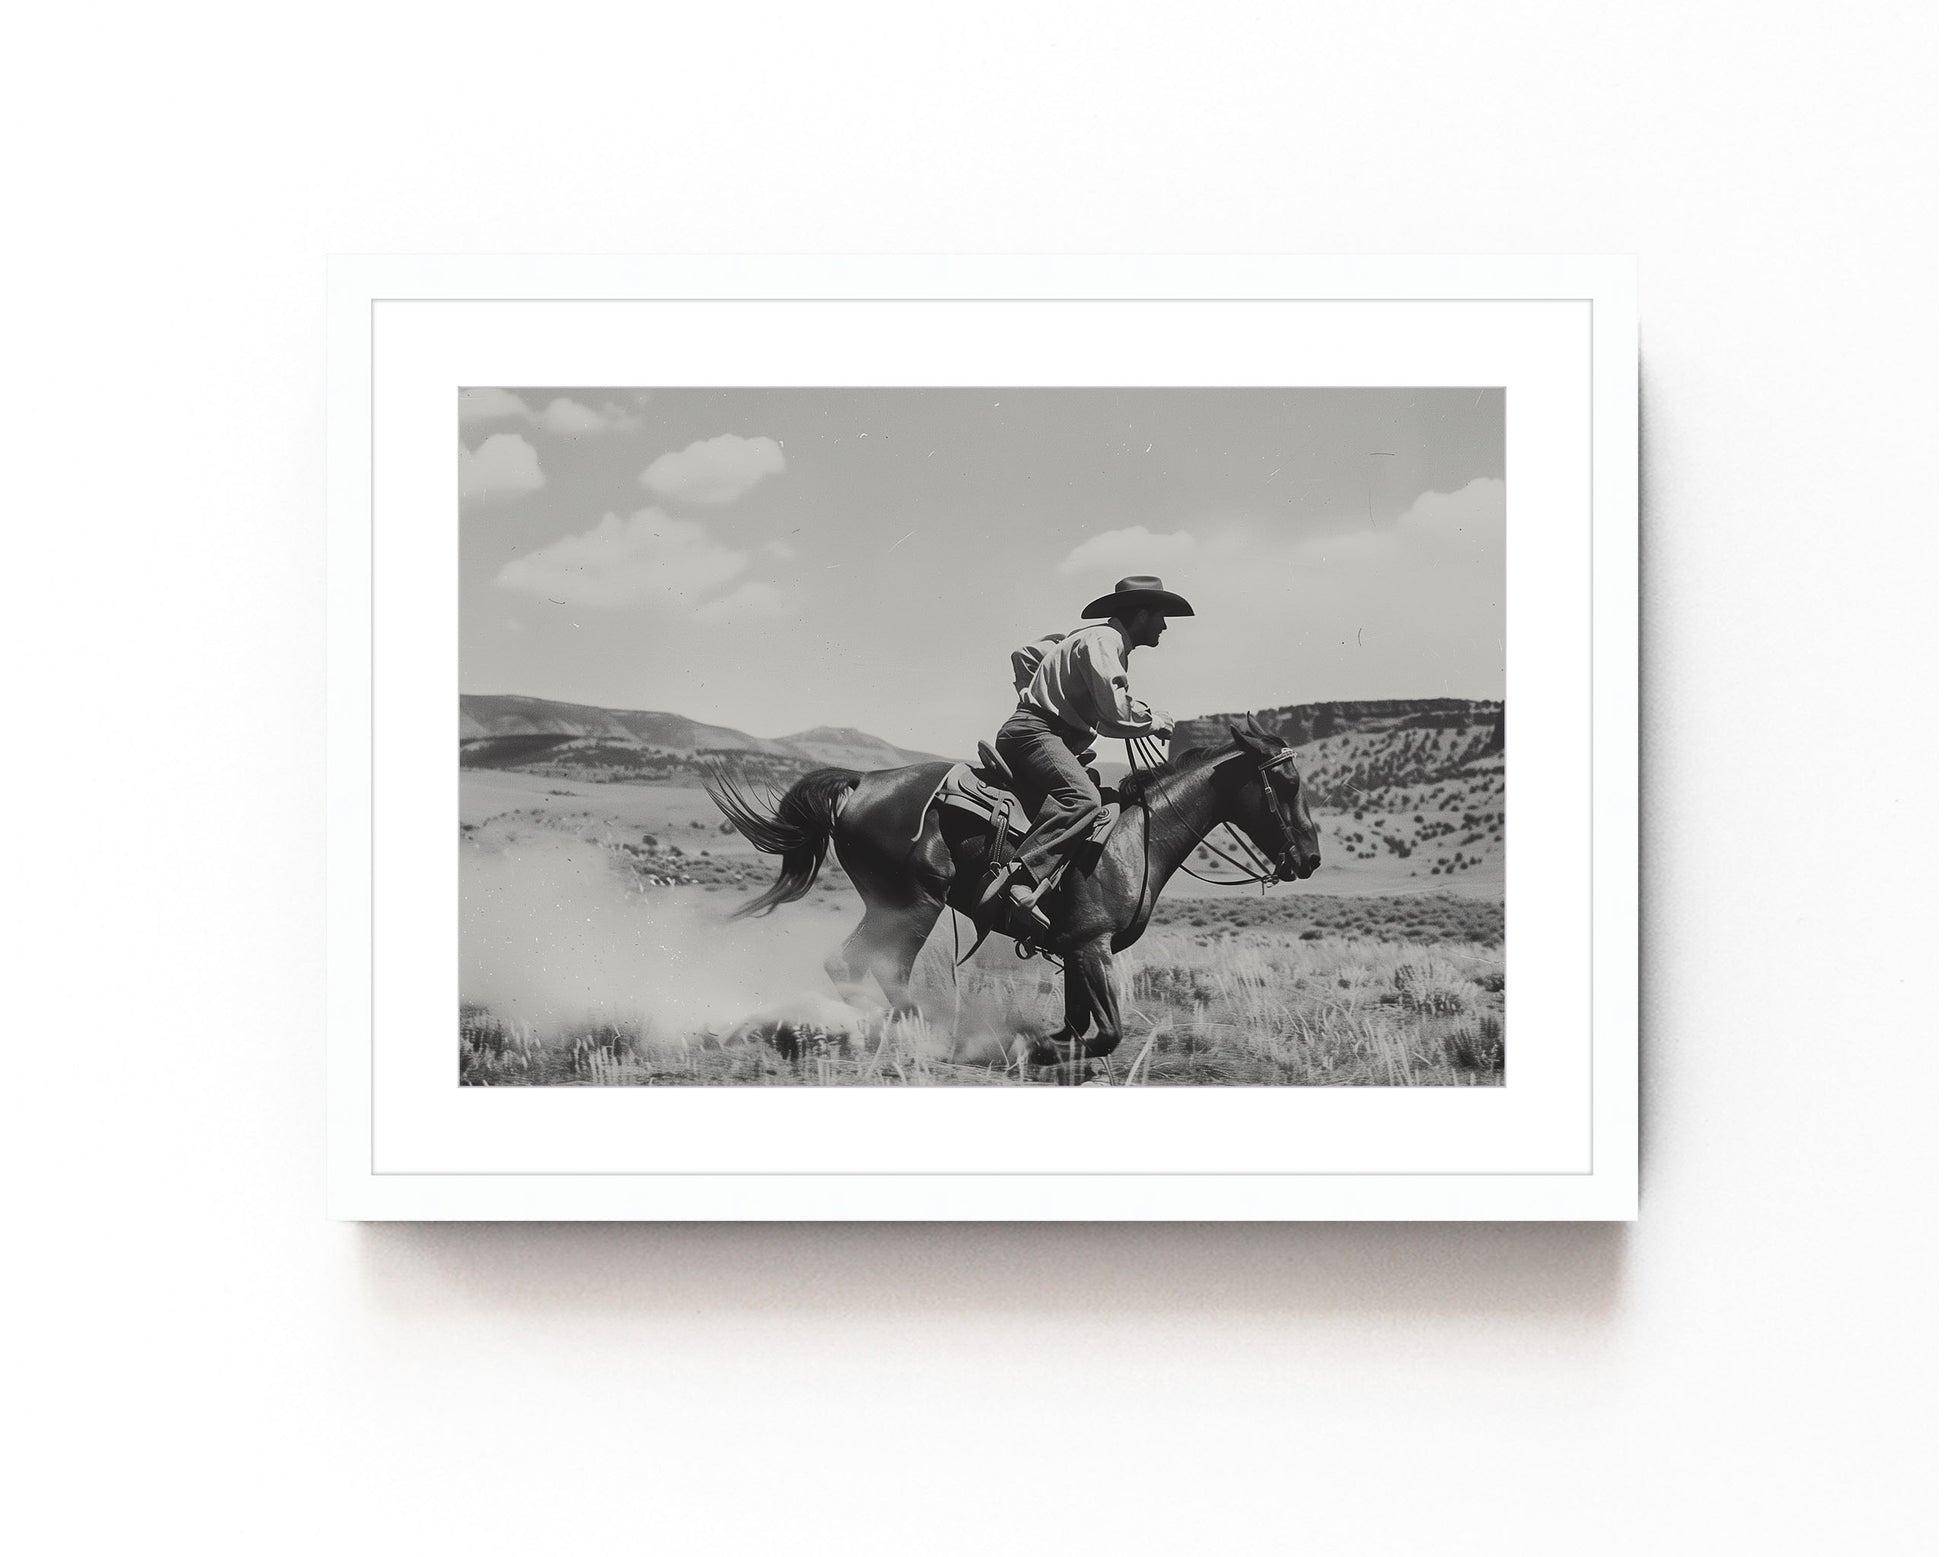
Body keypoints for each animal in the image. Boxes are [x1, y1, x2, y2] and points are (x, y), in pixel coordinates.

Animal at [700, 720, 1323, 1074]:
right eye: (1287, 782)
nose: (1310, 858)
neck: (1137, 837)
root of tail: (861, 783)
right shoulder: (1092, 946)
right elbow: (1106, 1033)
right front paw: (1037, 1050)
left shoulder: (1074, 949)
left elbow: (1077, 1025)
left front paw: (1046, 1050)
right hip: (912, 904)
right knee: (874, 966)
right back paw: (917, 1034)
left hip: (893, 905)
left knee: (849, 965)